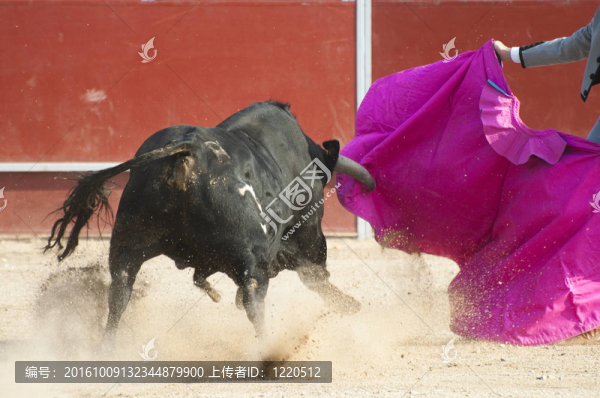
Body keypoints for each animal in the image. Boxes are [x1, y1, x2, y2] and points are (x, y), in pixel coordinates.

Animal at [45, 101, 376, 340]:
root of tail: (188, 151)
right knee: (255, 300)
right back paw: (268, 351)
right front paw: (351, 305)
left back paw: (107, 348)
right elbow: (315, 274)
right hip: (251, 256)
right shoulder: (306, 230)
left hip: (128, 244)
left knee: (119, 294)